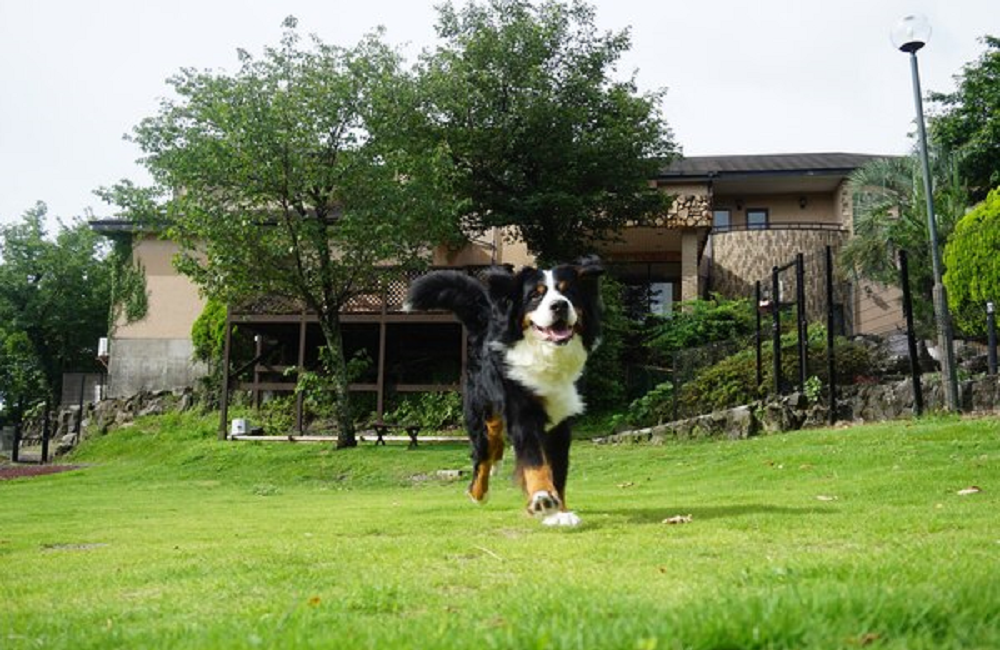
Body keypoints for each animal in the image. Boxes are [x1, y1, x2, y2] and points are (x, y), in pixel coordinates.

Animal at [404, 256, 604, 524]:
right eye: (535, 295)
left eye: (568, 291)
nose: (559, 306)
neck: (547, 358)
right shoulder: (522, 411)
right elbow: (534, 461)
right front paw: (542, 497)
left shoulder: (561, 421)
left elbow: (557, 470)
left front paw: (559, 511)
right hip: (480, 409)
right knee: (484, 449)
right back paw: (478, 491)